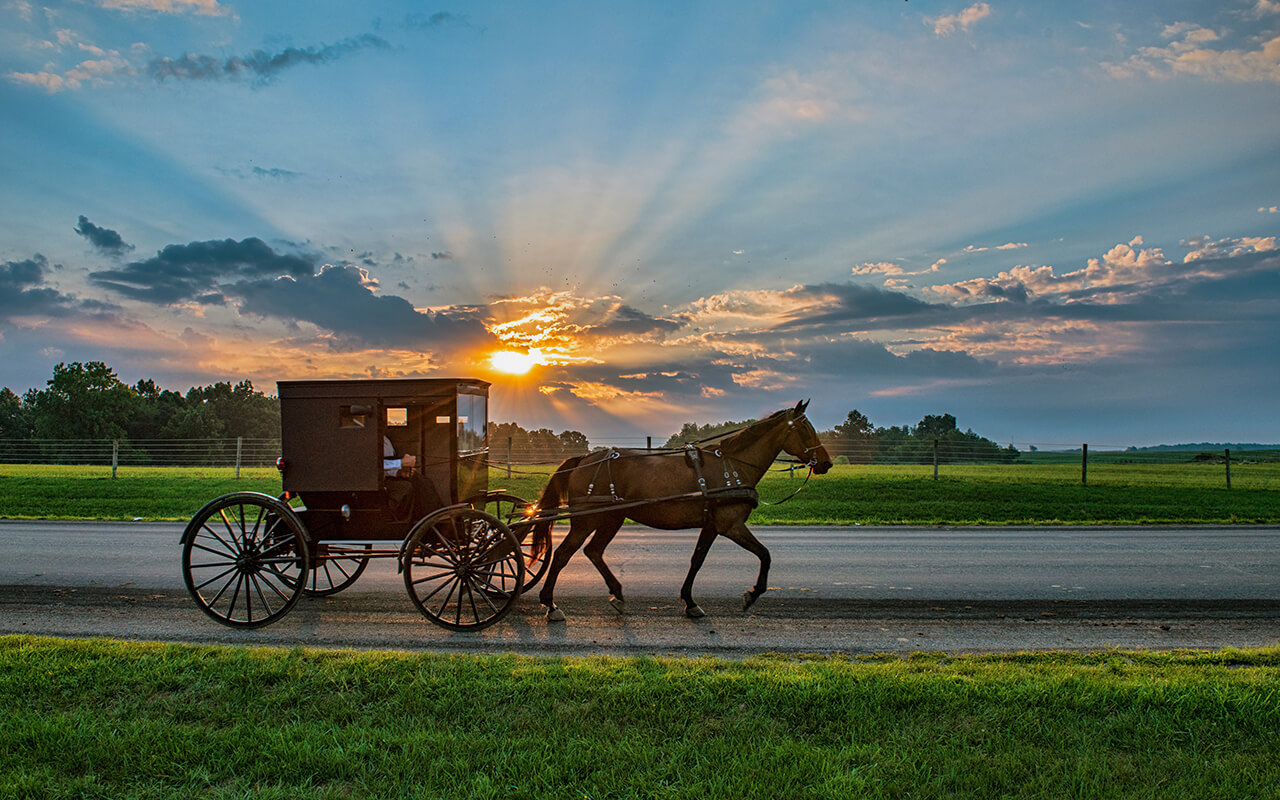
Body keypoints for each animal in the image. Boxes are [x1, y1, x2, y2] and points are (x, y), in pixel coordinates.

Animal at [527, 401, 834, 622]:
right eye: (805, 430)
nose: (826, 463)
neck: (732, 467)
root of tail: (583, 460)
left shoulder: (712, 525)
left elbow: (696, 560)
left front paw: (689, 601)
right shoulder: (731, 525)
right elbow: (765, 555)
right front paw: (752, 594)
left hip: (611, 518)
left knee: (593, 551)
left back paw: (617, 594)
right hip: (586, 519)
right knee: (563, 554)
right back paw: (550, 604)